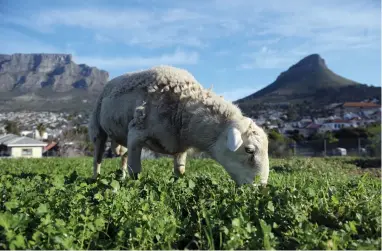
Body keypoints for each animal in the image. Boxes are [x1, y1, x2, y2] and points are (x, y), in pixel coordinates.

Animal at [88, 65, 270, 186]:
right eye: (249, 150)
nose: (261, 188)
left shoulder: (180, 145)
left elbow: (180, 172)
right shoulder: (136, 134)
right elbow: (136, 172)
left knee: (123, 157)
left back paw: (121, 177)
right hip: (98, 128)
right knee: (97, 158)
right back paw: (96, 179)